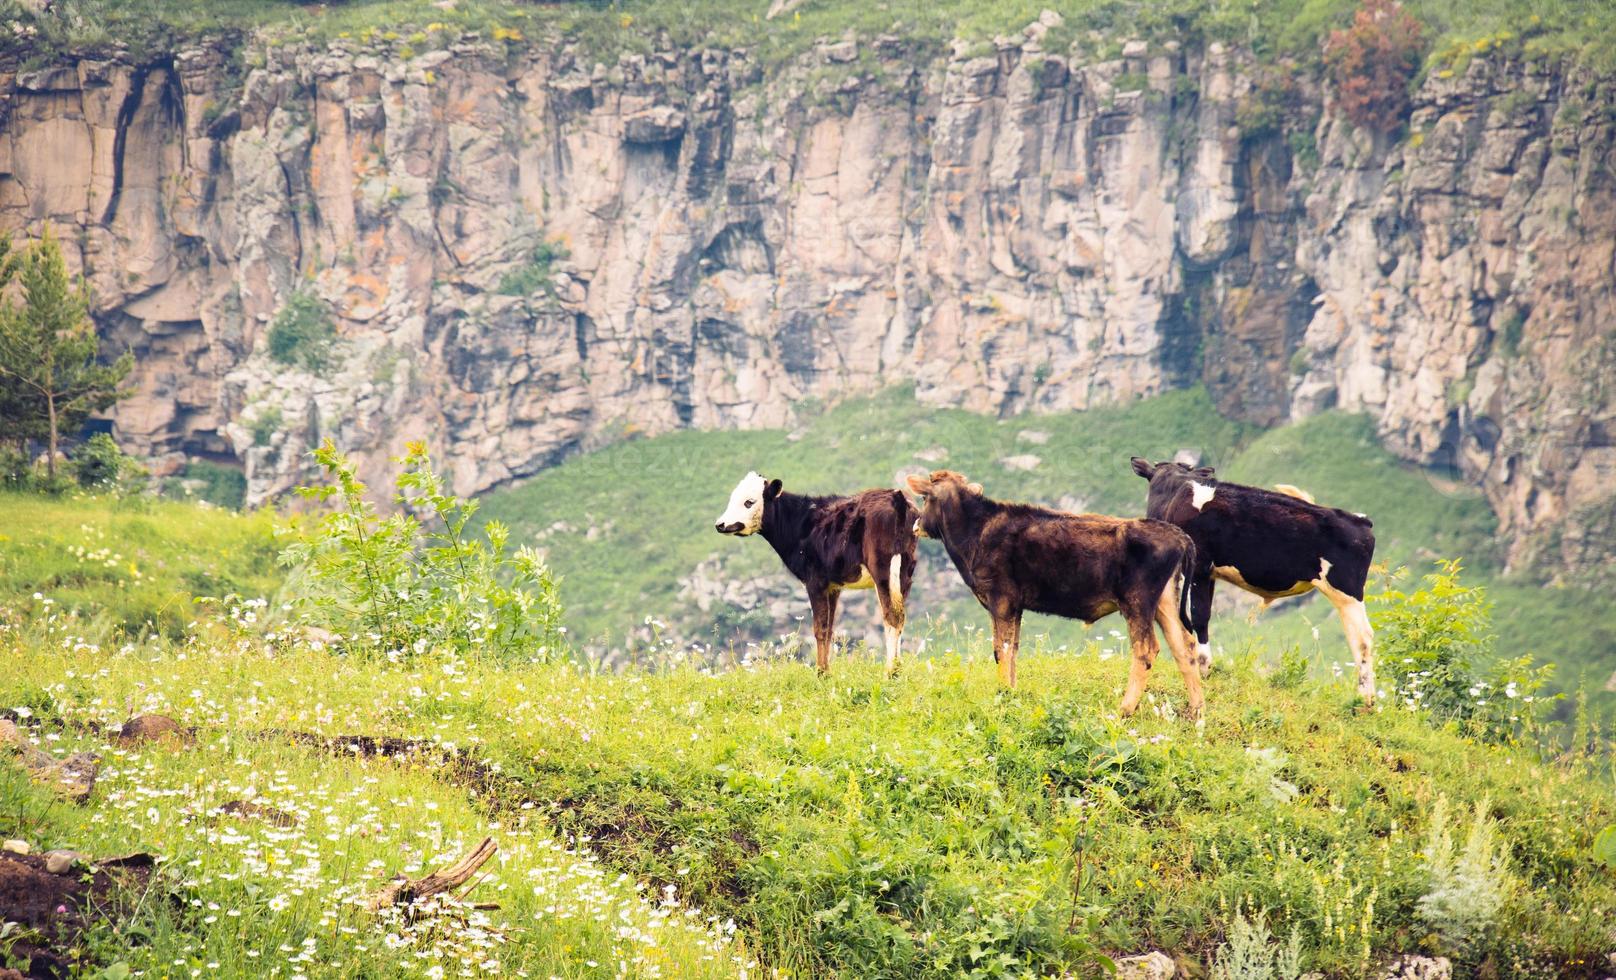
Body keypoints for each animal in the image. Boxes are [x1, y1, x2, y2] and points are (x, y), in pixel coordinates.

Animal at [714, 475, 917, 675]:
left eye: (749, 502)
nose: (720, 524)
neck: (801, 525)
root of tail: (896, 496)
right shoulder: (833, 585)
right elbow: (829, 629)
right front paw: (826, 671)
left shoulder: (814, 581)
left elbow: (820, 628)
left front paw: (821, 673)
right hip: (905, 572)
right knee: (900, 616)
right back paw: (897, 670)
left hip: (882, 568)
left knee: (891, 617)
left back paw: (891, 673)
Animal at [904, 468, 1208, 721]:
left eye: (925, 498)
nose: (916, 525)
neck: (975, 533)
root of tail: (1179, 536)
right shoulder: (1015, 604)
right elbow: (1013, 649)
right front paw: (1011, 692)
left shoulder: (1000, 597)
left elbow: (1001, 649)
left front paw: (1002, 695)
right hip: (1165, 599)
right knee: (1184, 646)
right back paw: (1196, 711)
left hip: (1138, 601)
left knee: (1146, 649)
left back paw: (1124, 709)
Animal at [1131, 459, 1383, 705]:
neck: (1177, 491)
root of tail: (1360, 521)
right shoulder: (1208, 573)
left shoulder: (1199, 568)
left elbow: (1198, 617)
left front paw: (1203, 668)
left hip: (1346, 592)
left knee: (1362, 638)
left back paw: (1365, 699)